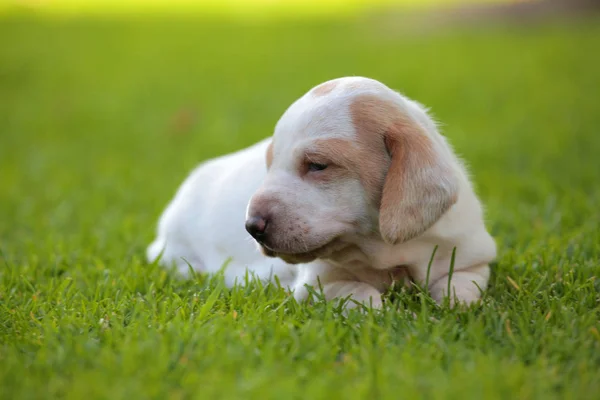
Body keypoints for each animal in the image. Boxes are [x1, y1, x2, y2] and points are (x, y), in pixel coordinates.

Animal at [149, 76, 496, 306]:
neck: (384, 253)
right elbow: (358, 294)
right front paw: (379, 307)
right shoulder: (316, 284)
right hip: (175, 250)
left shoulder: (471, 257)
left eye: (317, 165)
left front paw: (450, 301)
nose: (251, 227)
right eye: (270, 164)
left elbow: (462, 286)